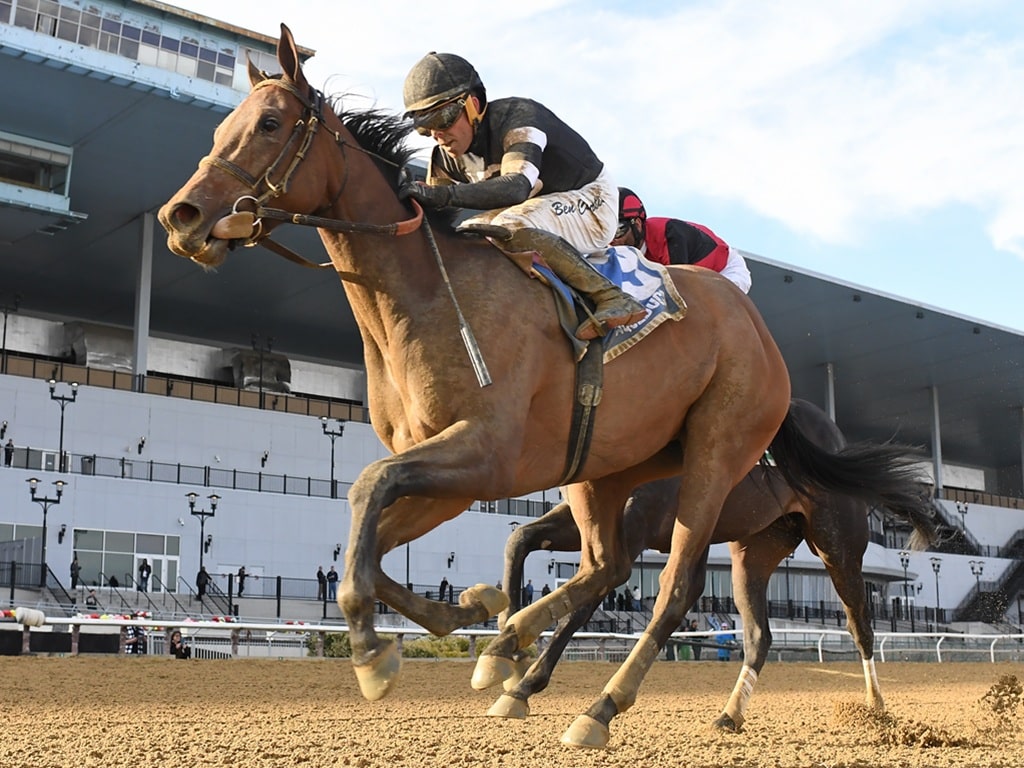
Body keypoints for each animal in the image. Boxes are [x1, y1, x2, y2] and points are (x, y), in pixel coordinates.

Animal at [491, 399, 937, 729]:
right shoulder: (590, 516)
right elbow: (519, 540)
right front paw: (509, 654)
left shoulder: (633, 530)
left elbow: (583, 601)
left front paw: (521, 671)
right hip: (754, 550)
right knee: (757, 635)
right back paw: (730, 714)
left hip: (836, 545)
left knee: (859, 625)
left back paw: (875, 707)